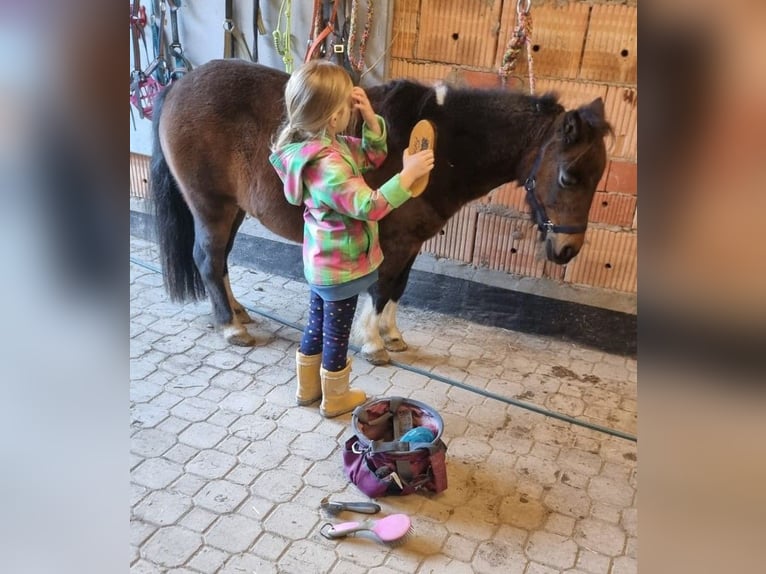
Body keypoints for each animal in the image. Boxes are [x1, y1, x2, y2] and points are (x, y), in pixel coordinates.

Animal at [153, 58, 616, 364]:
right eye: (569, 177)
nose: (568, 250)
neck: (444, 147)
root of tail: (177, 85)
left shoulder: (411, 243)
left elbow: (398, 288)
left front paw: (393, 336)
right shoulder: (394, 240)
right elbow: (381, 288)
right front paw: (373, 343)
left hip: (234, 209)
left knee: (220, 262)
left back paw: (237, 313)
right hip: (211, 206)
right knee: (207, 258)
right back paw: (230, 327)